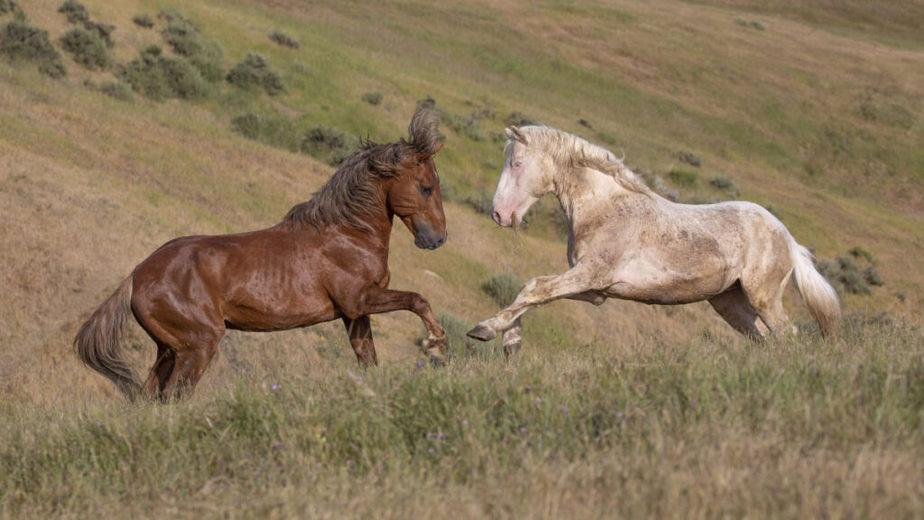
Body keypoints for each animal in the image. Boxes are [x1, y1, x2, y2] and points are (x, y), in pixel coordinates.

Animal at [75, 108, 448, 402]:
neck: (347, 233)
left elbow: (368, 359)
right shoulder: (360, 300)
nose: (438, 239)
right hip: (198, 345)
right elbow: (417, 299)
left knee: (148, 396)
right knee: (173, 396)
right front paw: (436, 343)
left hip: (168, 349)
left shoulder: (354, 314)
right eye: (426, 187)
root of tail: (137, 276)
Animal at [466, 125, 840, 358]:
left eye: (517, 163)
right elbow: (534, 289)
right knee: (765, 340)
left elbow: (536, 290)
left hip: (763, 297)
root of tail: (789, 238)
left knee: (788, 337)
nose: (499, 214)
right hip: (730, 303)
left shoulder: (590, 275)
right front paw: (509, 341)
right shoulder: (595, 290)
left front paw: (485, 330)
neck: (604, 208)